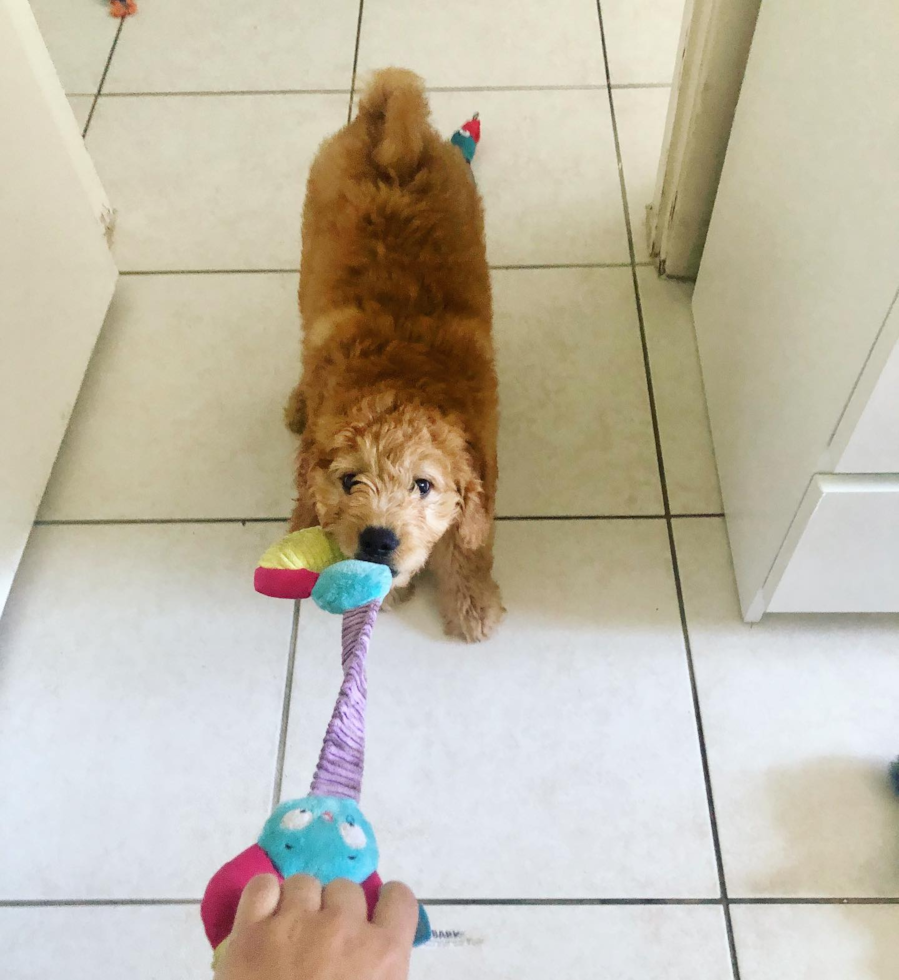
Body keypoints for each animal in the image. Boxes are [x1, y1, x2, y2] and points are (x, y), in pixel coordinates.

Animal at [284, 65, 502, 640]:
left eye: (422, 485)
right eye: (349, 480)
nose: (378, 541)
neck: (401, 372)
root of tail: (387, 132)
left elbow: (469, 538)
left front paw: (471, 601)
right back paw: (296, 403)